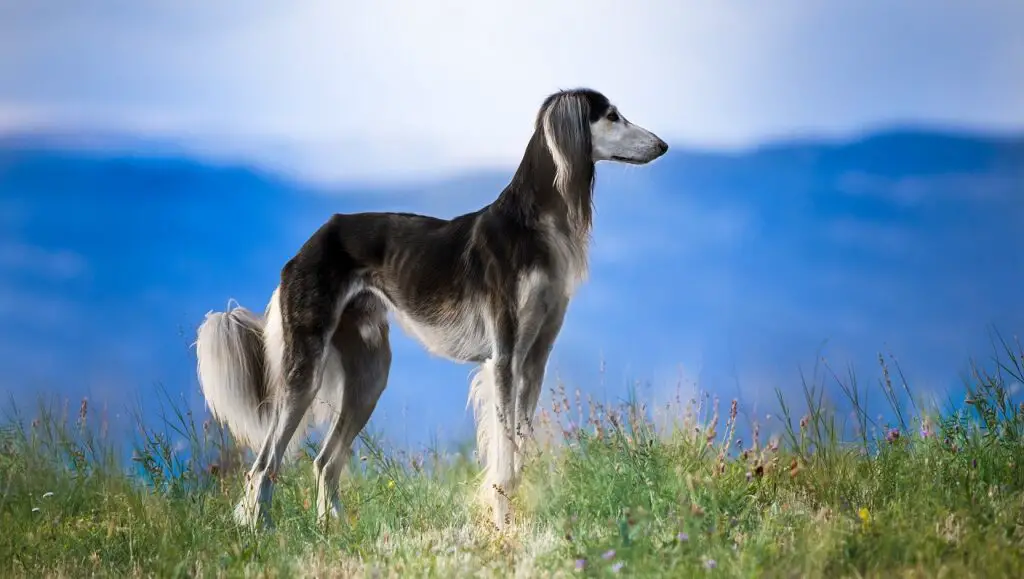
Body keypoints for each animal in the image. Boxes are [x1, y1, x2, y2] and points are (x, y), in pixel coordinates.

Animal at [194, 85, 667, 528]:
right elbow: (504, 454)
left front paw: (515, 519)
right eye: (611, 115)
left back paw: (336, 528)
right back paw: (260, 530)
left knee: (325, 461)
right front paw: (502, 522)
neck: (532, 224)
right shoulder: (506, 358)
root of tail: (308, 245)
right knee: (263, 465)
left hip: (370, 374)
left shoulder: (535, 359)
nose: (662, 145)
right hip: (305, 371)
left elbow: (520, 449)